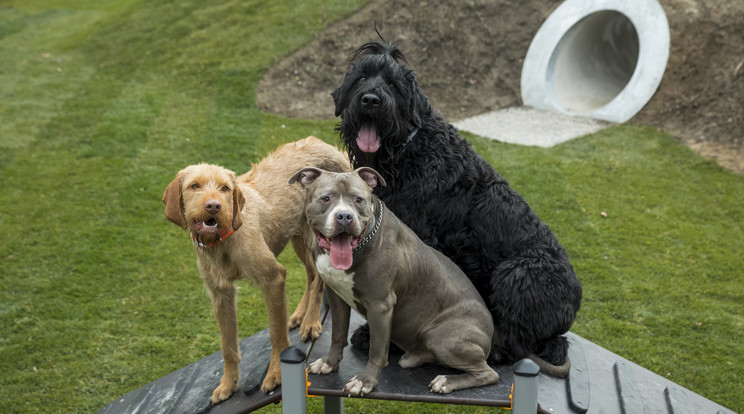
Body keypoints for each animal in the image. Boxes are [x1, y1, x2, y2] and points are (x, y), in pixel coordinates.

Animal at [332, 40, 580, 374]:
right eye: (360, 79)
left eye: (394, 85)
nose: (370, 100)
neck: (409, 151)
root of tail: (573, 302)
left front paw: (382, 340)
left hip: (517, 274)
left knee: (531, 344)